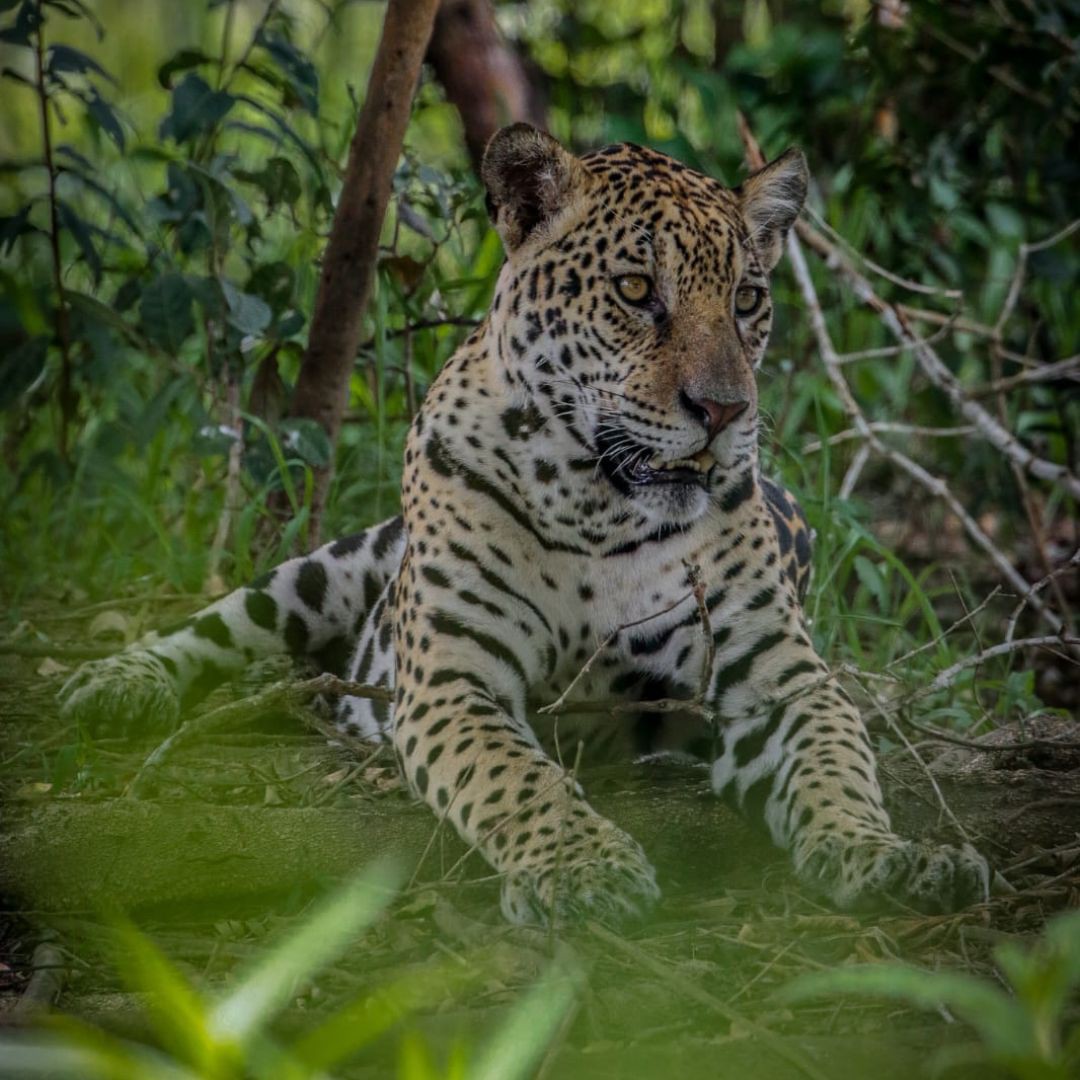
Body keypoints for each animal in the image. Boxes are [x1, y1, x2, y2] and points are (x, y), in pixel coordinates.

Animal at [60, 123, 990, 926]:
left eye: (748, 299)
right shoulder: (455, 676)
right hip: (331, 570)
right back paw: (117, 684)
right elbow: (515, 779)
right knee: (228, 621)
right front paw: (586, 867)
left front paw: (885, 854)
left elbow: (838, 766)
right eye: (636, 291)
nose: (726, 411)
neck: (600, 507)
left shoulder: (779, 677)